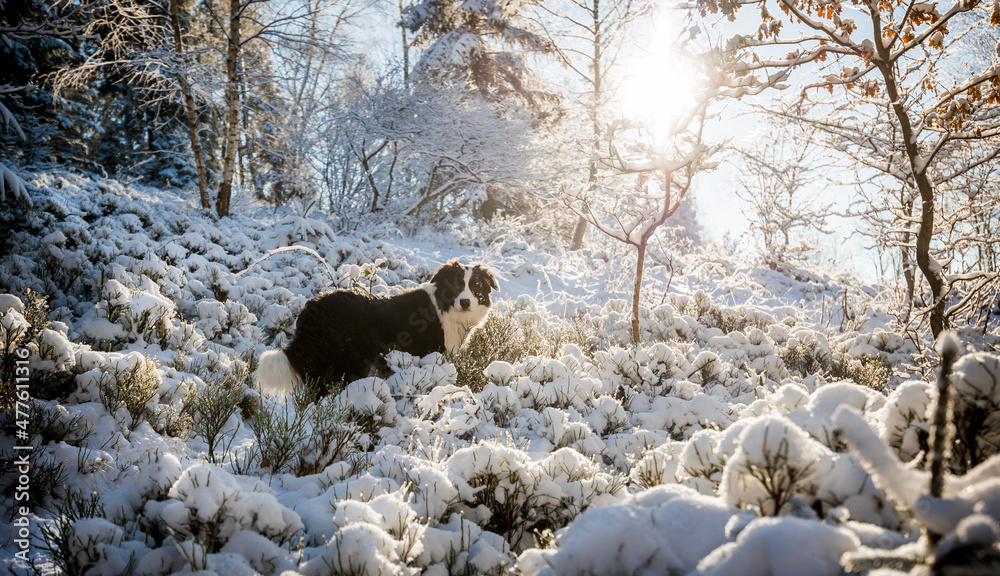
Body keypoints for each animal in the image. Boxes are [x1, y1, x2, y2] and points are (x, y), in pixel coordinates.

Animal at [254, 260, 496, 396]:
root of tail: (315, 306)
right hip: (349, 359)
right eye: (456, 285)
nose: (465, 302)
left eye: (475, 287)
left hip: (322, 360)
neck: (443, 307)